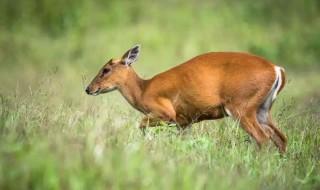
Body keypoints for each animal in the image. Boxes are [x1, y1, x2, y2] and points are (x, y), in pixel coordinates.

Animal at [85, 44, 288, 153]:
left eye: (105, 69)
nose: (88, 88)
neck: (143, 90)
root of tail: (276, 69)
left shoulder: (165, 112)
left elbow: (141, 124)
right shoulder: (184, 122)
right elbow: (184, 142)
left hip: (241, 105)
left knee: (263, 138)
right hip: (262, 108)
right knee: (280, 138)